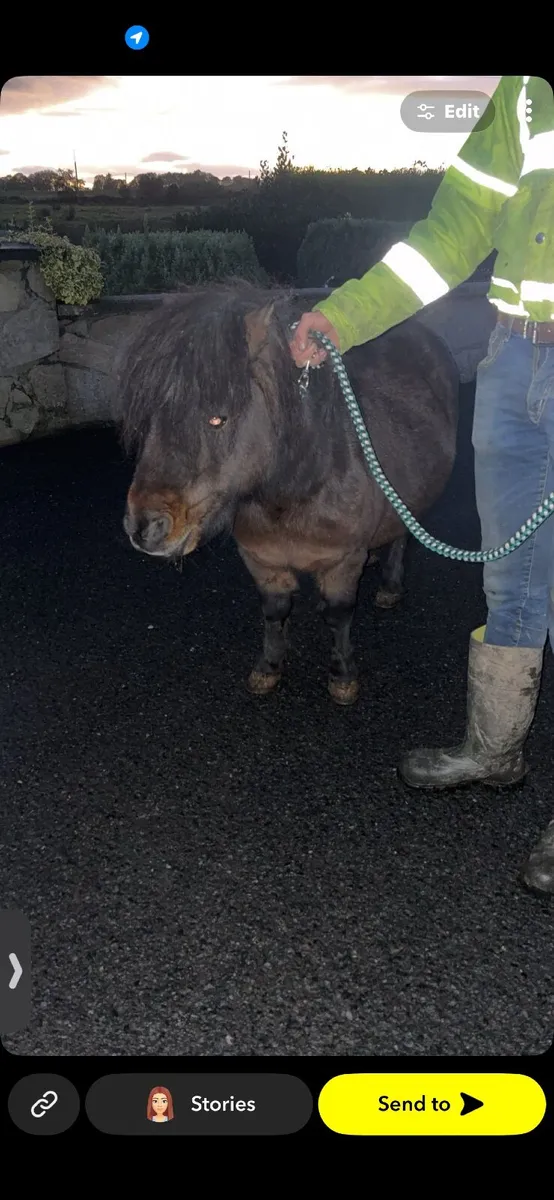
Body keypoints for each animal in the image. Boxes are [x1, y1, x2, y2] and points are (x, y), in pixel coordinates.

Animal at [118, 282, 459, 704]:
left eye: (218, 418)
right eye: (150, 418)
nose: (143, 527)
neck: (296, 490)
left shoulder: (342, 561)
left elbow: (338, 614)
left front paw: (342, 676)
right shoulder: (261, 560)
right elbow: (275, 612)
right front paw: (269, 668)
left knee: (402, 536)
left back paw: (390, 586)